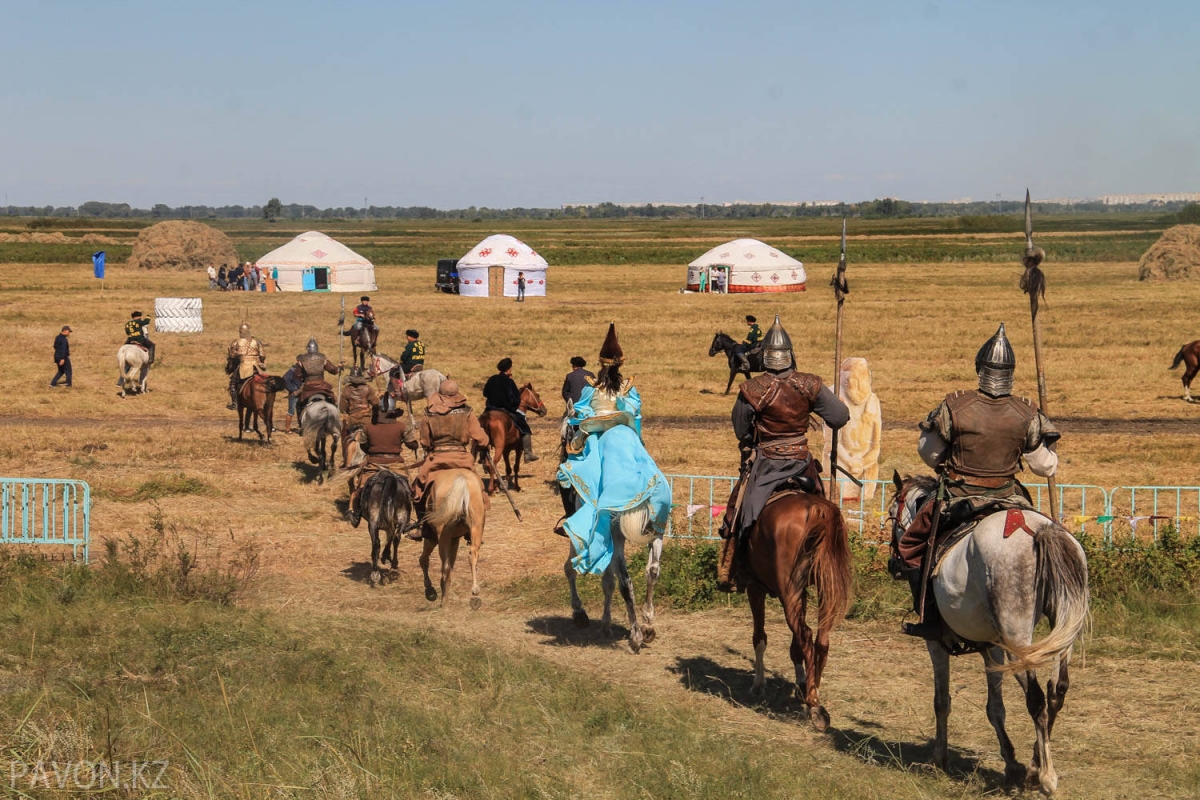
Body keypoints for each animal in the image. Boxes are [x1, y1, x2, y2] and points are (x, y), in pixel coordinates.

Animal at [417, 465, 482, 609]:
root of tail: (462, 481)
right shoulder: (455, 539)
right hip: (476, 527)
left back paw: (444, 601)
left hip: (443, 535)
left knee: (445, 566)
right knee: (472, 555)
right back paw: (475, 589)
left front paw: (430, 590)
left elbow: (424, 559)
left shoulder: (432, 538)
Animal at [729, 491, 854, 729]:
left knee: (805, 634)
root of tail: (817, 510)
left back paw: (814, 705)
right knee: (820, 638)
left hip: (789, 588)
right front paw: (802, 683)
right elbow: (796, 646)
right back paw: (814, 693)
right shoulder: (801, 591)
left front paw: (758, 684)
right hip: (825, 583)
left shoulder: (755, 586)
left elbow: (759, 637)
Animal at [888, 474, 1094, 796]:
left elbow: (941, 700)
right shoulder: (991, 648)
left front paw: (939, 758)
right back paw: (1035, 766)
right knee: (1056, 691)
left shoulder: (936, 644)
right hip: (1062, 629)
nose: (893, 564)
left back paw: (1047, 776)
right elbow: (995, 708)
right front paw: (1012, 766)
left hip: (1017, 641)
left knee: (1036, 699)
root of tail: (1040, 530)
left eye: (890, 515)